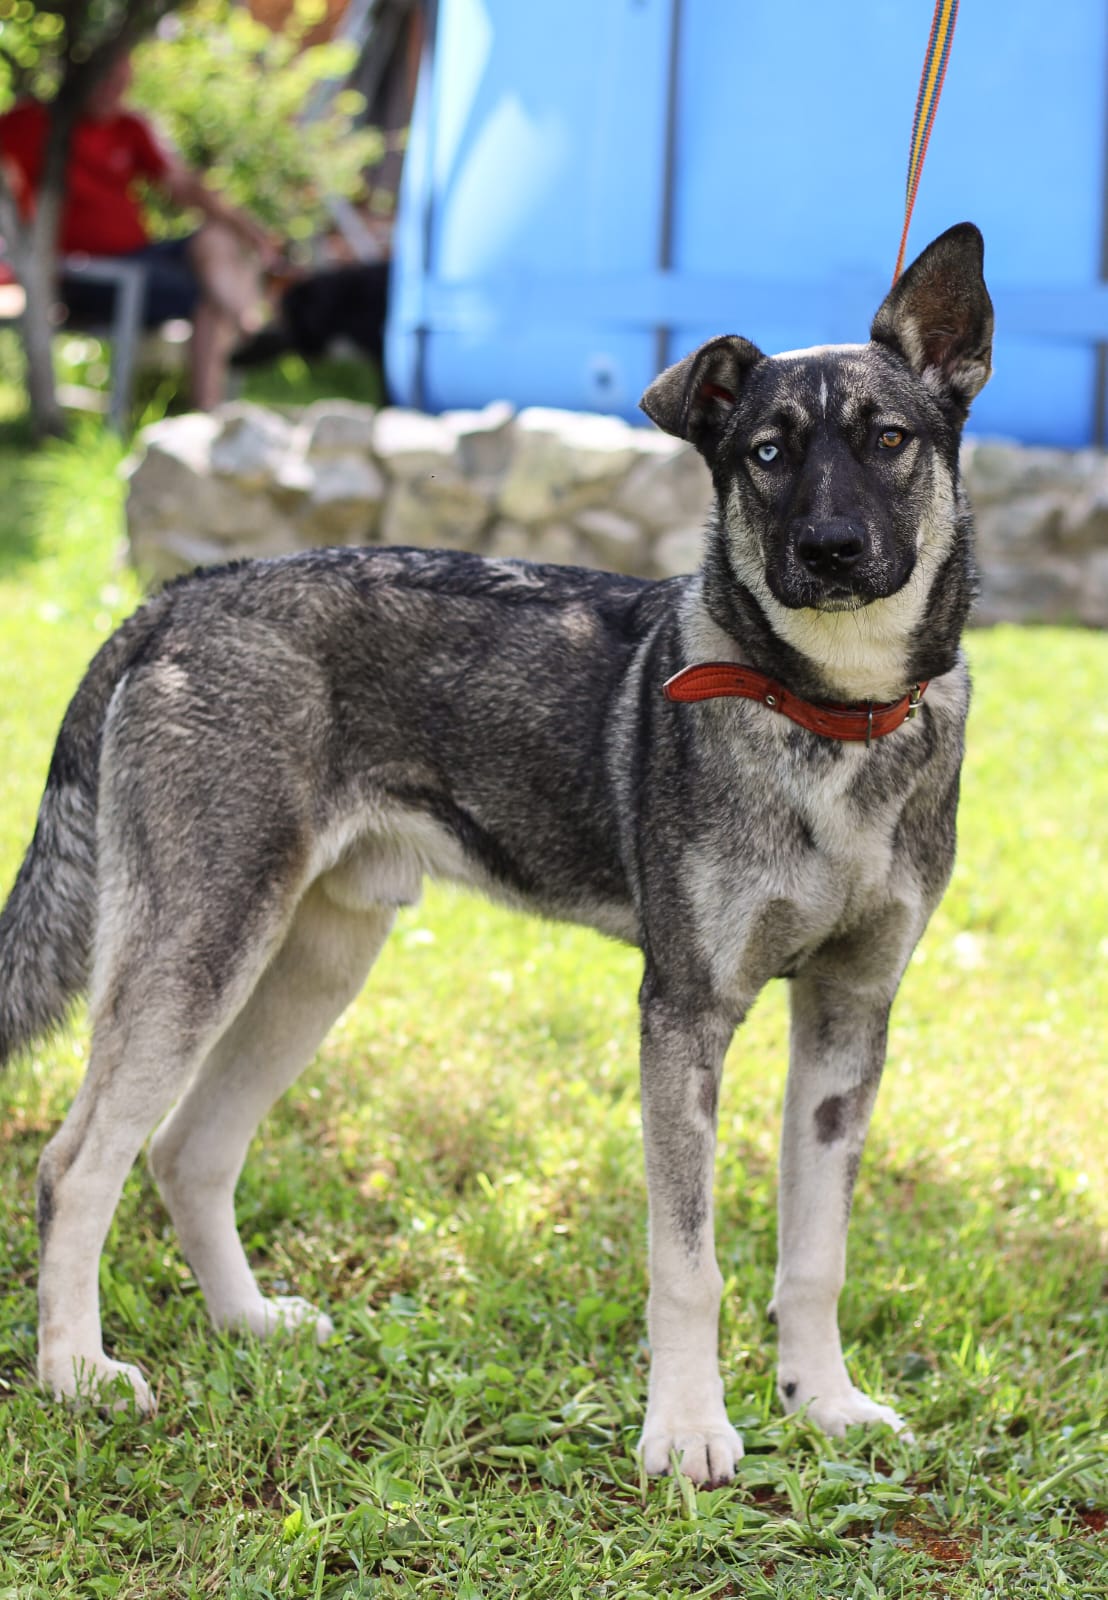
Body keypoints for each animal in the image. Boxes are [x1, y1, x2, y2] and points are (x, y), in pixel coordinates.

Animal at [0, 219, 992, 1478]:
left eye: (889, 441)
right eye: (766, 452)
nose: (827, 549)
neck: (830, 714)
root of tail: (178, 598)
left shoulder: (849, 1018)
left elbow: (815, 1253)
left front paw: (822, 1402)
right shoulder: (683, 1016)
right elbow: (688, 1263)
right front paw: (686, 1430)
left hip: (313, 962)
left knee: (188, 1150)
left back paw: (247, 1322)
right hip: (200, 943)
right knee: (76, 1163)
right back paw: (76, 1372)